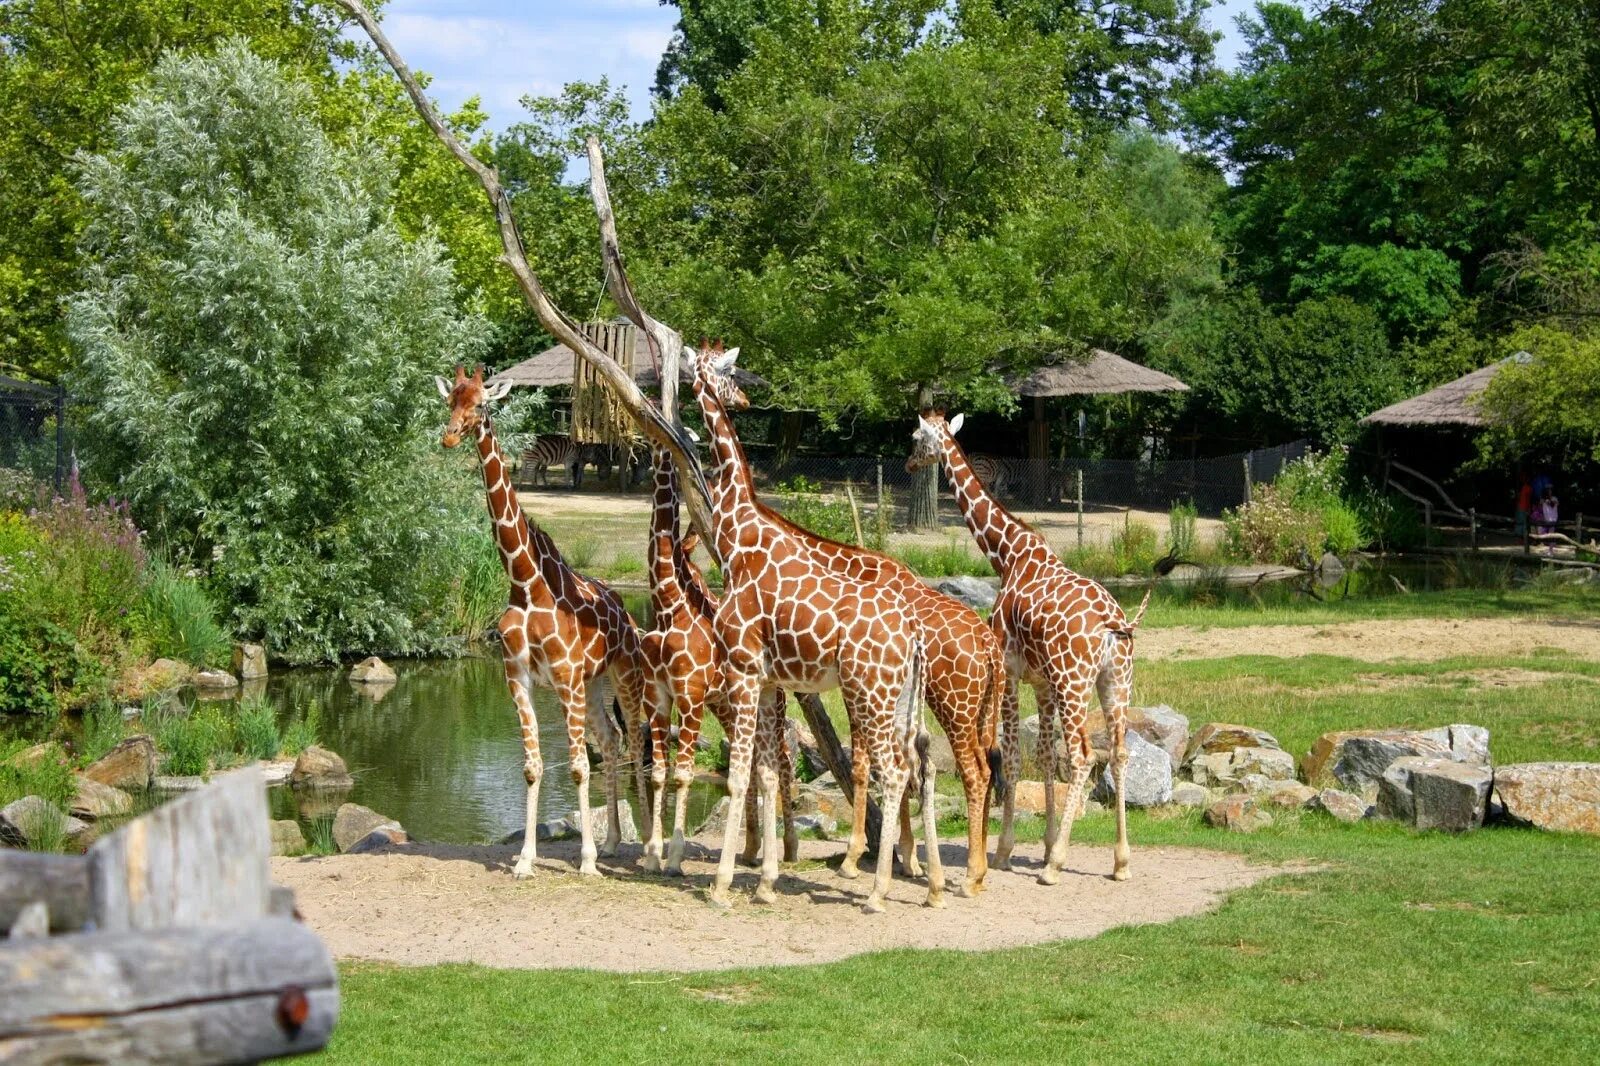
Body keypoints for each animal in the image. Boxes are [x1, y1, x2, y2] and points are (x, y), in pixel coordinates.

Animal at [438, 361, 649, 877]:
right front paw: (525, 860)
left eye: (481, 404)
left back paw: (649, 849)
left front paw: (586, 862)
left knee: (635, 741)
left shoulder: (566, 678)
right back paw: (613, 840)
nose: (450, 436)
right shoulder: (518, 676)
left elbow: (576, 766)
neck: (526, 582)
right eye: (450, 400)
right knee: (610, 740)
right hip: (594, 682)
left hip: (624, 674)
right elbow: (533, 766)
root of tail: (624, 609)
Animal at [636, 444, 800, 877]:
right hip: (727, 707)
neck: (669, 608)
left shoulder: (690, 697)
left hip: (768, 705)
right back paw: (751, 849)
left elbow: (683, 774)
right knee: (753, 765)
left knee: (784, 761)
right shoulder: (658, 697)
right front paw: (652, 855)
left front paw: (675, 857)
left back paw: (789, 848)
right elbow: (659, 774)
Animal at [684, 344, 934, 909]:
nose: (747, 395)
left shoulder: (743, 669)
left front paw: (723, 884)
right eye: (730, 369)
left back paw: (878, 890)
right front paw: (766, 884)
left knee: (894, 771)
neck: (737, 540)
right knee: (913, 766)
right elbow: (769, 774)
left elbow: (738, 776)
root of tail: (912, 638)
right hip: (898, 697)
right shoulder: (769, 681)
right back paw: (931, 886)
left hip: (869, 695)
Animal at [908, 406, 1145, 877]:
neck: (1008, 555)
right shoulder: (1042, 683)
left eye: (916, 438)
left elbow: (1015, 757)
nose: (908, 464)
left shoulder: (1013, 671)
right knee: (1119, 753)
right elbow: (1044, 757)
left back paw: (1056, 867)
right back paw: (1121, 861)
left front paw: (1005, 851)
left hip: (1075, 683)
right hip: (1115, 682)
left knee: (1083, 755)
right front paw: (1047, 841)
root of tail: (1113, 624)